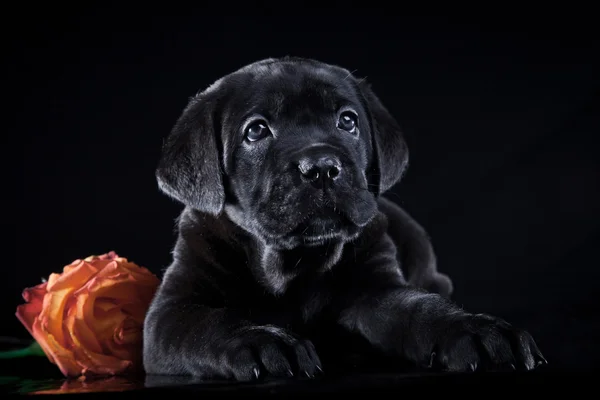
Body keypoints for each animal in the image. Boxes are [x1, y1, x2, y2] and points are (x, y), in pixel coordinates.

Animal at [143, 55, 548, 378]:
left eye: (348, 121)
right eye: (256, 130)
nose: (321, 166)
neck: (294, 263)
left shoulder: (374, 288)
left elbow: (418, 308)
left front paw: (475, 329)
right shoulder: (169, 313)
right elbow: (211, 324)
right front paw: (263, 341)